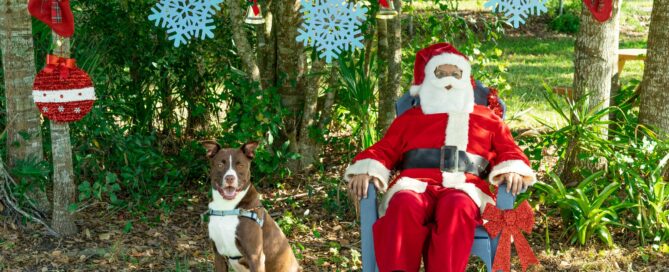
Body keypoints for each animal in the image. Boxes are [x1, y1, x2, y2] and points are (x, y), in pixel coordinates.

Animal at [201, 141, 300, 270]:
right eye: (220, 165)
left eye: (240, 165)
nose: (229, 178)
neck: (227, 209)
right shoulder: (218, 255)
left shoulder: (255, 257)